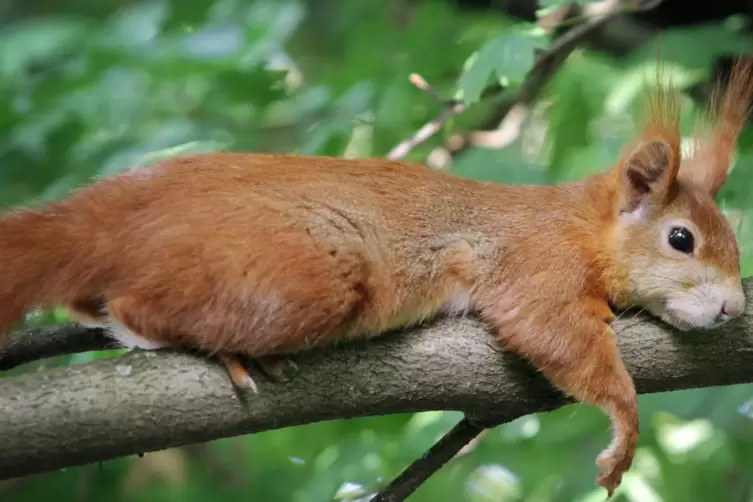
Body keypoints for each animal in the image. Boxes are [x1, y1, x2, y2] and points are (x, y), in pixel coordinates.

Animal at [0, 55, 748, 494]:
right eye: (680, 239)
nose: (733, 310)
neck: (581, 225)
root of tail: (122, 213)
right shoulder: (532, 262)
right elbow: (553, 331)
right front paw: (623, 426)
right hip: (301, 280)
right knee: (139, 305)